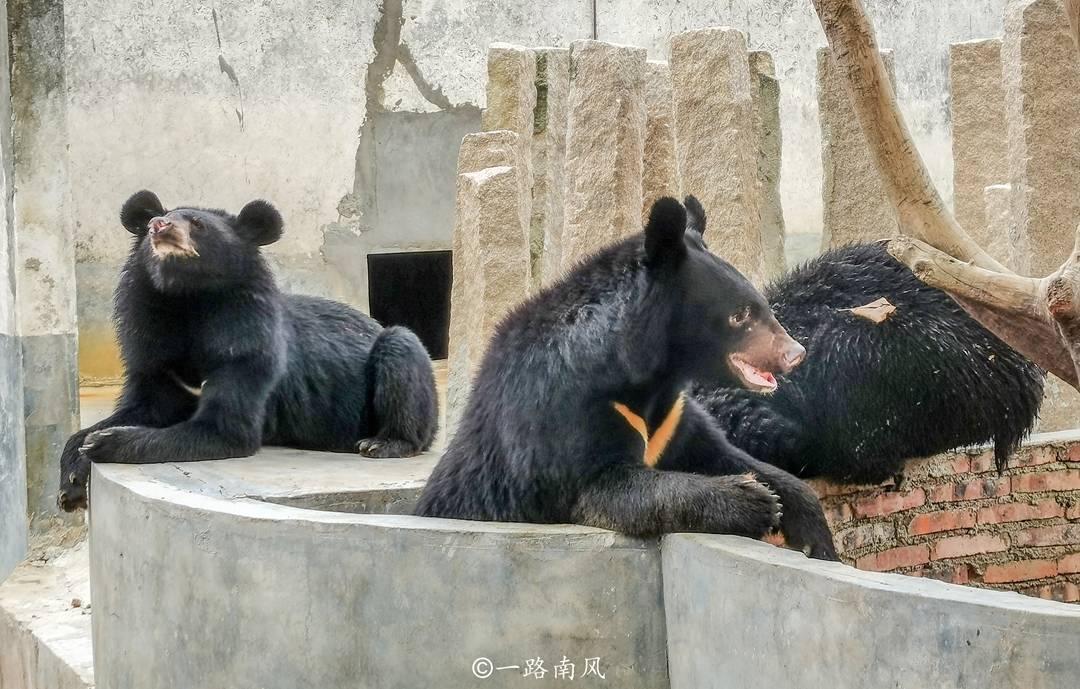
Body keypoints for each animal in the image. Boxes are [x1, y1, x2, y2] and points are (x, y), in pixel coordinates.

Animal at [416, 194, 838, 561]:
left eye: (761, 304)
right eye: (739, 315)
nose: (794, 353)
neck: (649, 378)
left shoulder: (673, 417)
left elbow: (725, 454)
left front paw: (815, 538)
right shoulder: (563, 416)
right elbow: (610, 487)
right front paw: (753, 500)